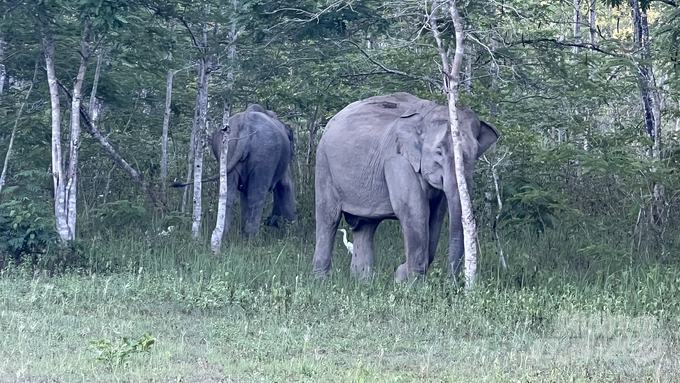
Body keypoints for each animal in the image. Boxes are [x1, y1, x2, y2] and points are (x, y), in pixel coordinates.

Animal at [314, 94, 500, 282]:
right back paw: (322, 282)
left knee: (365, 226)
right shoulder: (397, 161)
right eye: (439, 151)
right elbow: (415, 211)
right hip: (323, 165)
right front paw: (408, 281)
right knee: (328, 218)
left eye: (476, 152)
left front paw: (402, 276)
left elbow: (436, 215)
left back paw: (362, 282)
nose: (452, 283)